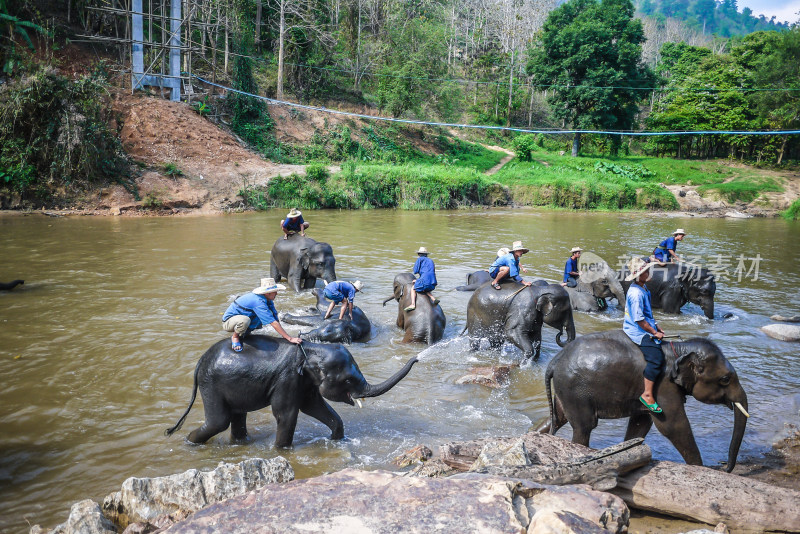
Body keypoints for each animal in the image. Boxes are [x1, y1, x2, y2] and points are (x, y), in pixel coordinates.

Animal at [165, 340, 416, 448]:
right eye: (347, 380)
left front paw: (335, 440)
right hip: (211, 383)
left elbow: (314, 406)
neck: (310, 349)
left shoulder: (305, 382)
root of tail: (201, 360)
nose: (416, 357)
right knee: (219, 421)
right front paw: (281, 450)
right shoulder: (287, 379)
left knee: (236, 416)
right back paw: (190, 444)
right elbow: (286, 414)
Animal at [540, 330, 748, 474]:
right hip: (575, 389)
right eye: (725, 379)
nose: (722, 466)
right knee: (584, 426)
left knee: (557, 418)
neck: (679, 348)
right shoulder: (662, 384)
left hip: (566, 390)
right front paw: (700, 468)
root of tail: (555, 360)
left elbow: (641, 423)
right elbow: (673, 425)